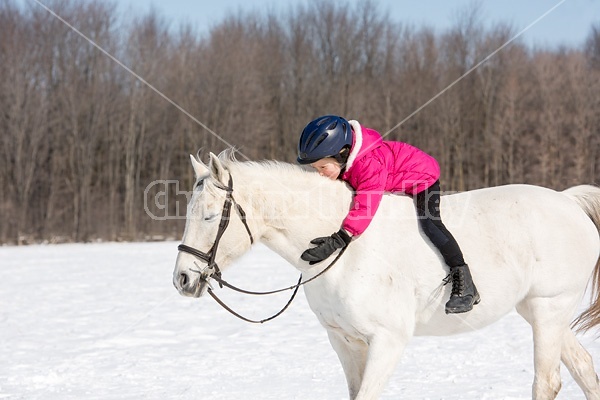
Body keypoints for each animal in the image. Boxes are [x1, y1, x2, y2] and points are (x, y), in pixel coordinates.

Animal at [172, 152, 600, 398]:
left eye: (209, 216)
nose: (182, 279)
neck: (344, 249)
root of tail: (568, 201)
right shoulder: (344, 340)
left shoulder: (388, 339)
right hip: (539, 312)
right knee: (583, 370)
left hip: (548, 309)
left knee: (547, 382)